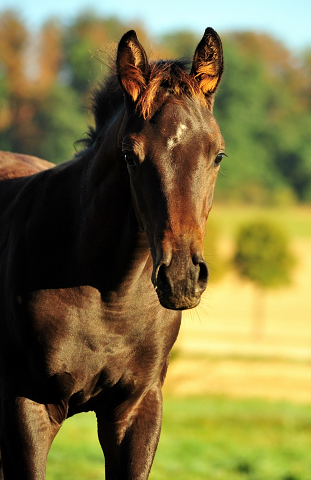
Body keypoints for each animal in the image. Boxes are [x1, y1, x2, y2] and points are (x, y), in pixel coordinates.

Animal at [0, 28, 225, 478]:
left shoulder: (136, 408)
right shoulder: (26, 407)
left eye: (218, 156)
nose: (181, 279)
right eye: (129, 155)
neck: (109, 295)